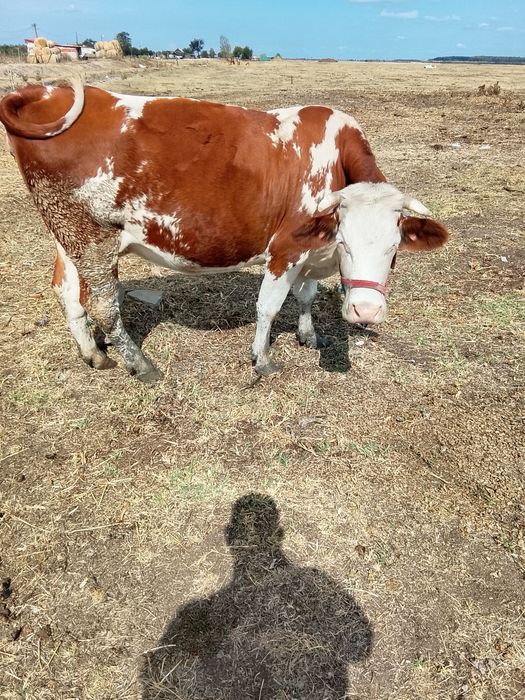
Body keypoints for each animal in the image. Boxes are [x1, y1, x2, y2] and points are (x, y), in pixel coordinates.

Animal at [0, 76, 448, 382]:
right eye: (347, 243)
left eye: (394, 251)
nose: (366, 311)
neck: (334, 158)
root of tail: (45, 92)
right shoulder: (286, 248)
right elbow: (268, 306)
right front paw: (263, 359)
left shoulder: (310, 250)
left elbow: (305, 295)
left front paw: (308, 335)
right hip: (94, 239)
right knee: (103, 304)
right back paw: (141, 364)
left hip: (68, 235)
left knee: (66, 292)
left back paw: (93, 354)